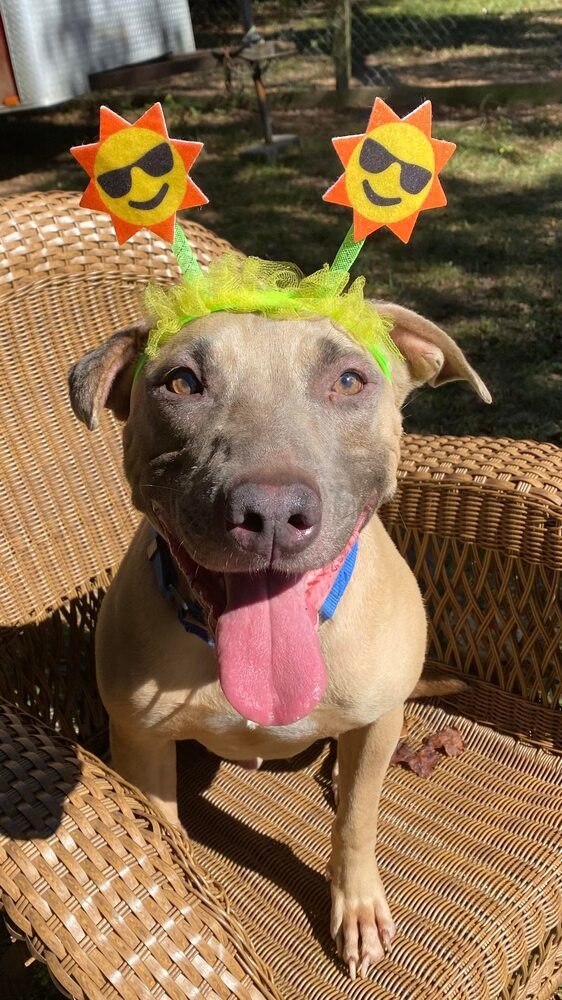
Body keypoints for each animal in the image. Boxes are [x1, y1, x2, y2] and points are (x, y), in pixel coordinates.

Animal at [69, 304, 486, 976]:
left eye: (349, 380)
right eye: (181, 382)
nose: (269, 513)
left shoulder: (378, 722)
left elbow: (356, 821)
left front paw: (356, 905)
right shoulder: (140, 745)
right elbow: (164, 837)